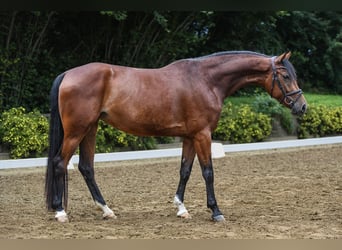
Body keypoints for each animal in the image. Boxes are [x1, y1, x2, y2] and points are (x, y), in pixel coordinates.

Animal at [45, 50, 308, 223]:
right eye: (286, 76)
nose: (302, 106)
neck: (206, 80)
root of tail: (68, 74)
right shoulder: (203, 135)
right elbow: (208, 172)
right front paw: (216, 211)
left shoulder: (190, 136)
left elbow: (185, 170)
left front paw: (181, 208)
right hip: (77, 131)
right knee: (59, 163)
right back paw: (60, 211)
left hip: (90, 129)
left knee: (86, 167)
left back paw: (106, 210)